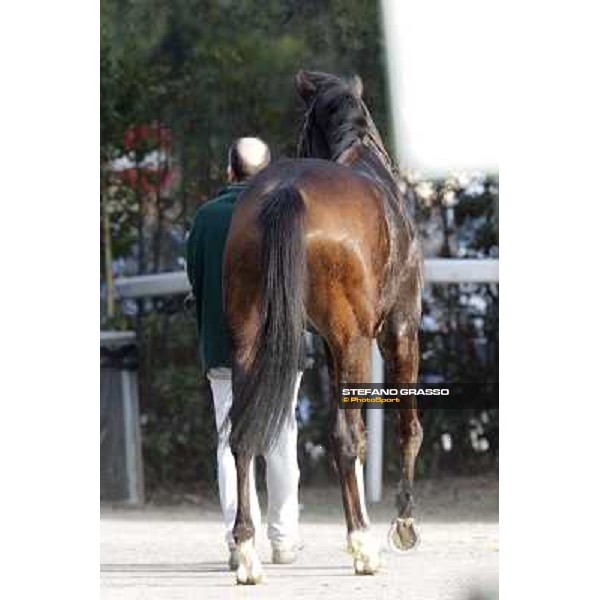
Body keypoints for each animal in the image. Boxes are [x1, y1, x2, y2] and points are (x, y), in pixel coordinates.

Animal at [223, 69, 424, 580]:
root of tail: (286, 192)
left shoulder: (334, 348)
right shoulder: (398, 330)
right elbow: (404, 427)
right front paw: (402, 524)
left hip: (249, 339)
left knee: (242, 433)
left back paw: (247, 551)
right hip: (357, 340)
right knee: (343, 437)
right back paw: (364, 546)